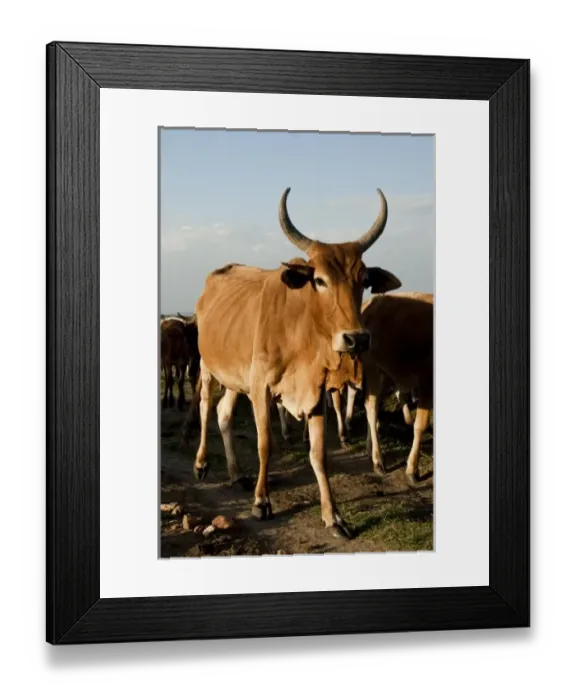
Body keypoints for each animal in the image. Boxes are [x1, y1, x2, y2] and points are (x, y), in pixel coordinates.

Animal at [188, 187, 400, 539]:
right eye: (320, 280)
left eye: (364, 280)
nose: (357, 339)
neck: (301, 334)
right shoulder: (261, 389)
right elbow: (265, 445)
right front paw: (262, 502)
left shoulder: (315, 393)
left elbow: (319, 454)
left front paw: (334, 516)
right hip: (208, 366)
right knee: (205, 408)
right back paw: (202, 464)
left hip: (236, 378)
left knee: (224, 414)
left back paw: (236, 474)